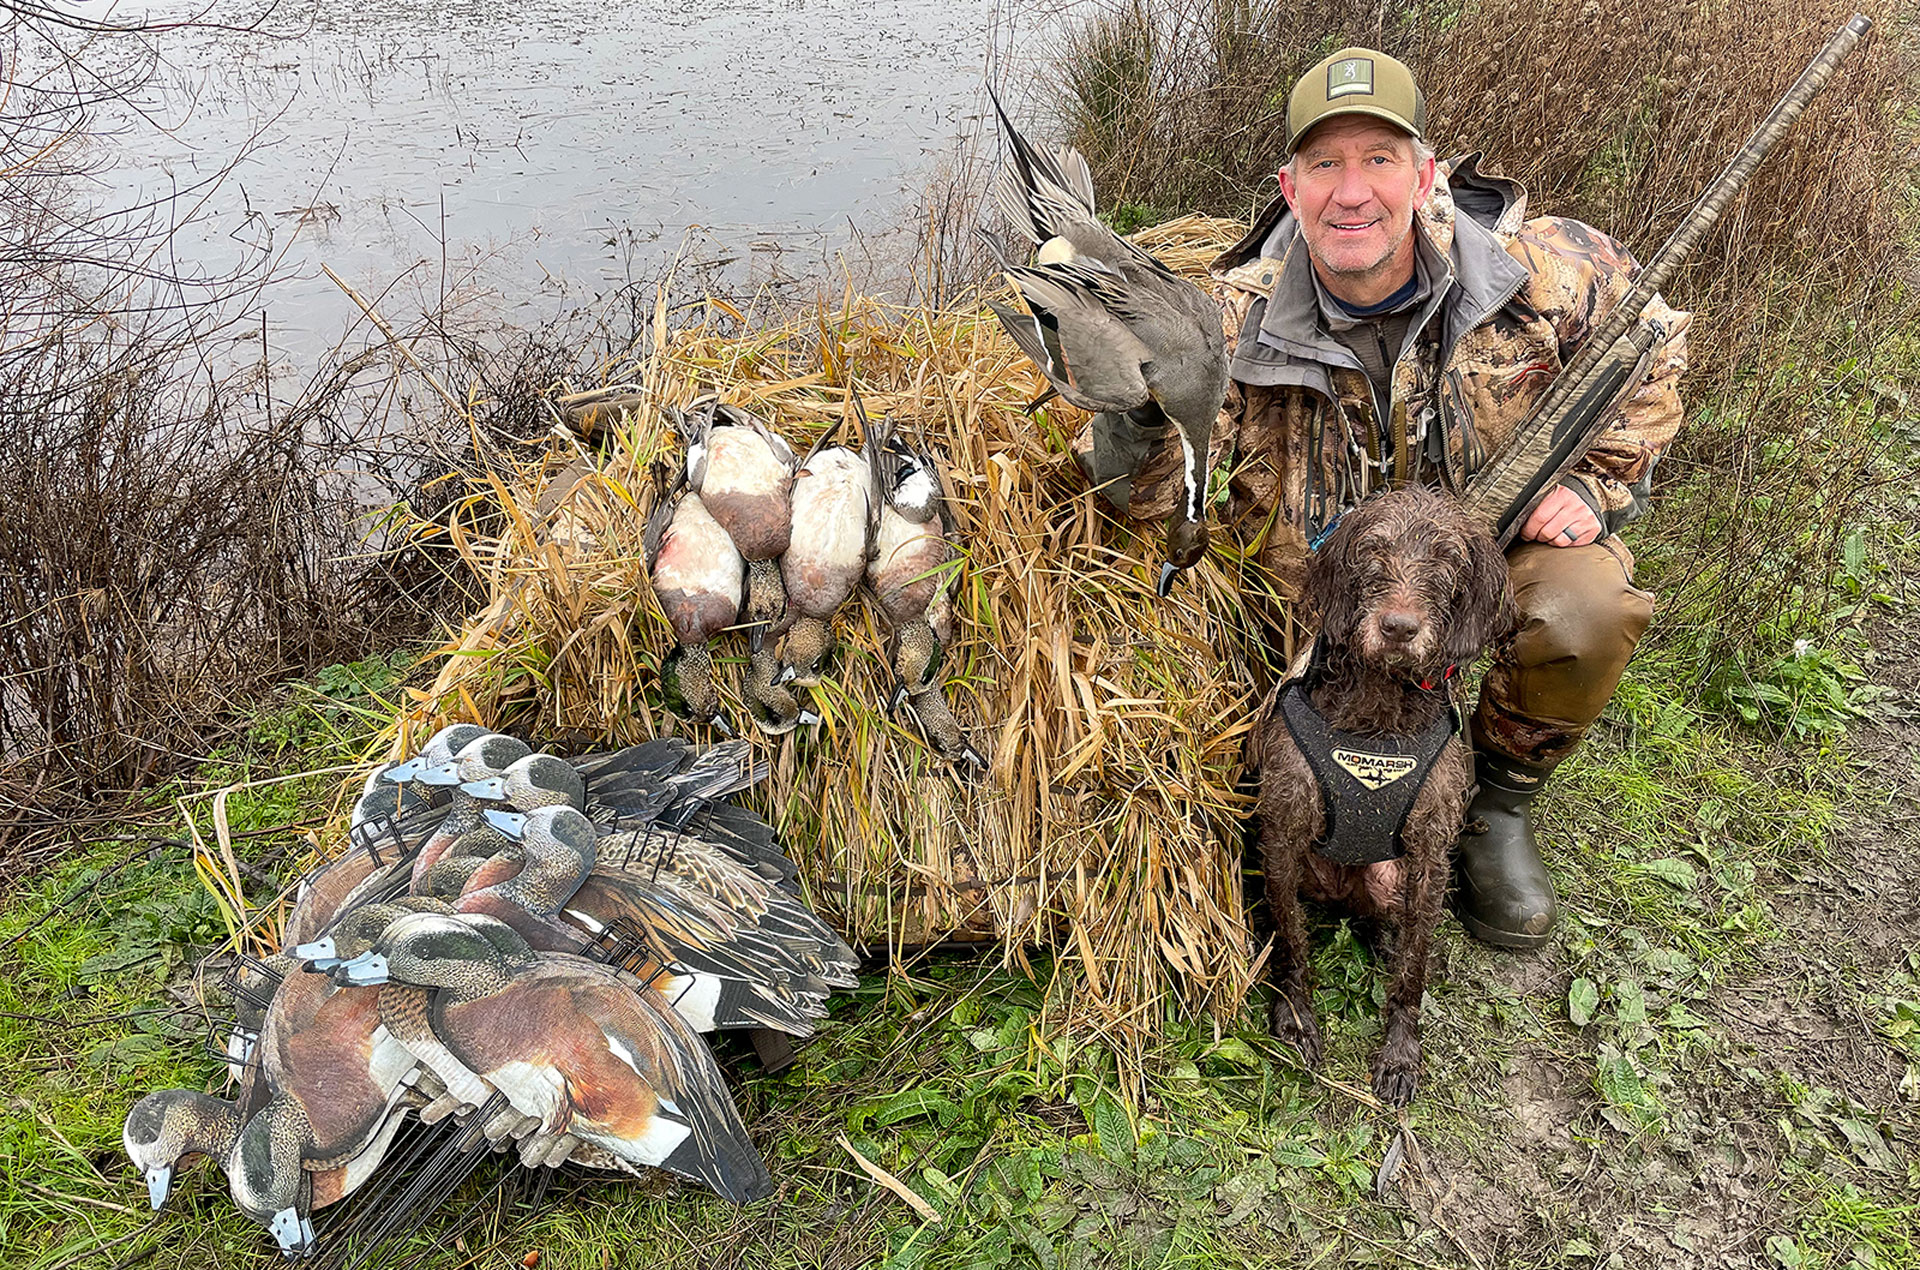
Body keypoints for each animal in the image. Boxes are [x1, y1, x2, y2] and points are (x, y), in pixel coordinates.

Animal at [1259, 486, 1512, 1099]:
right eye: (1373, 551)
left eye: (1448, 560)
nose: (1398, 627)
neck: (1379, 710)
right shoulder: (1283, 833)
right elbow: (1290, 939)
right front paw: (1295, 1016)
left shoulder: (1428, 854)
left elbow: (1414, 968)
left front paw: (1400, 1049)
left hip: (1391, 879)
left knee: (1393, 925)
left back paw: (1385, 940)